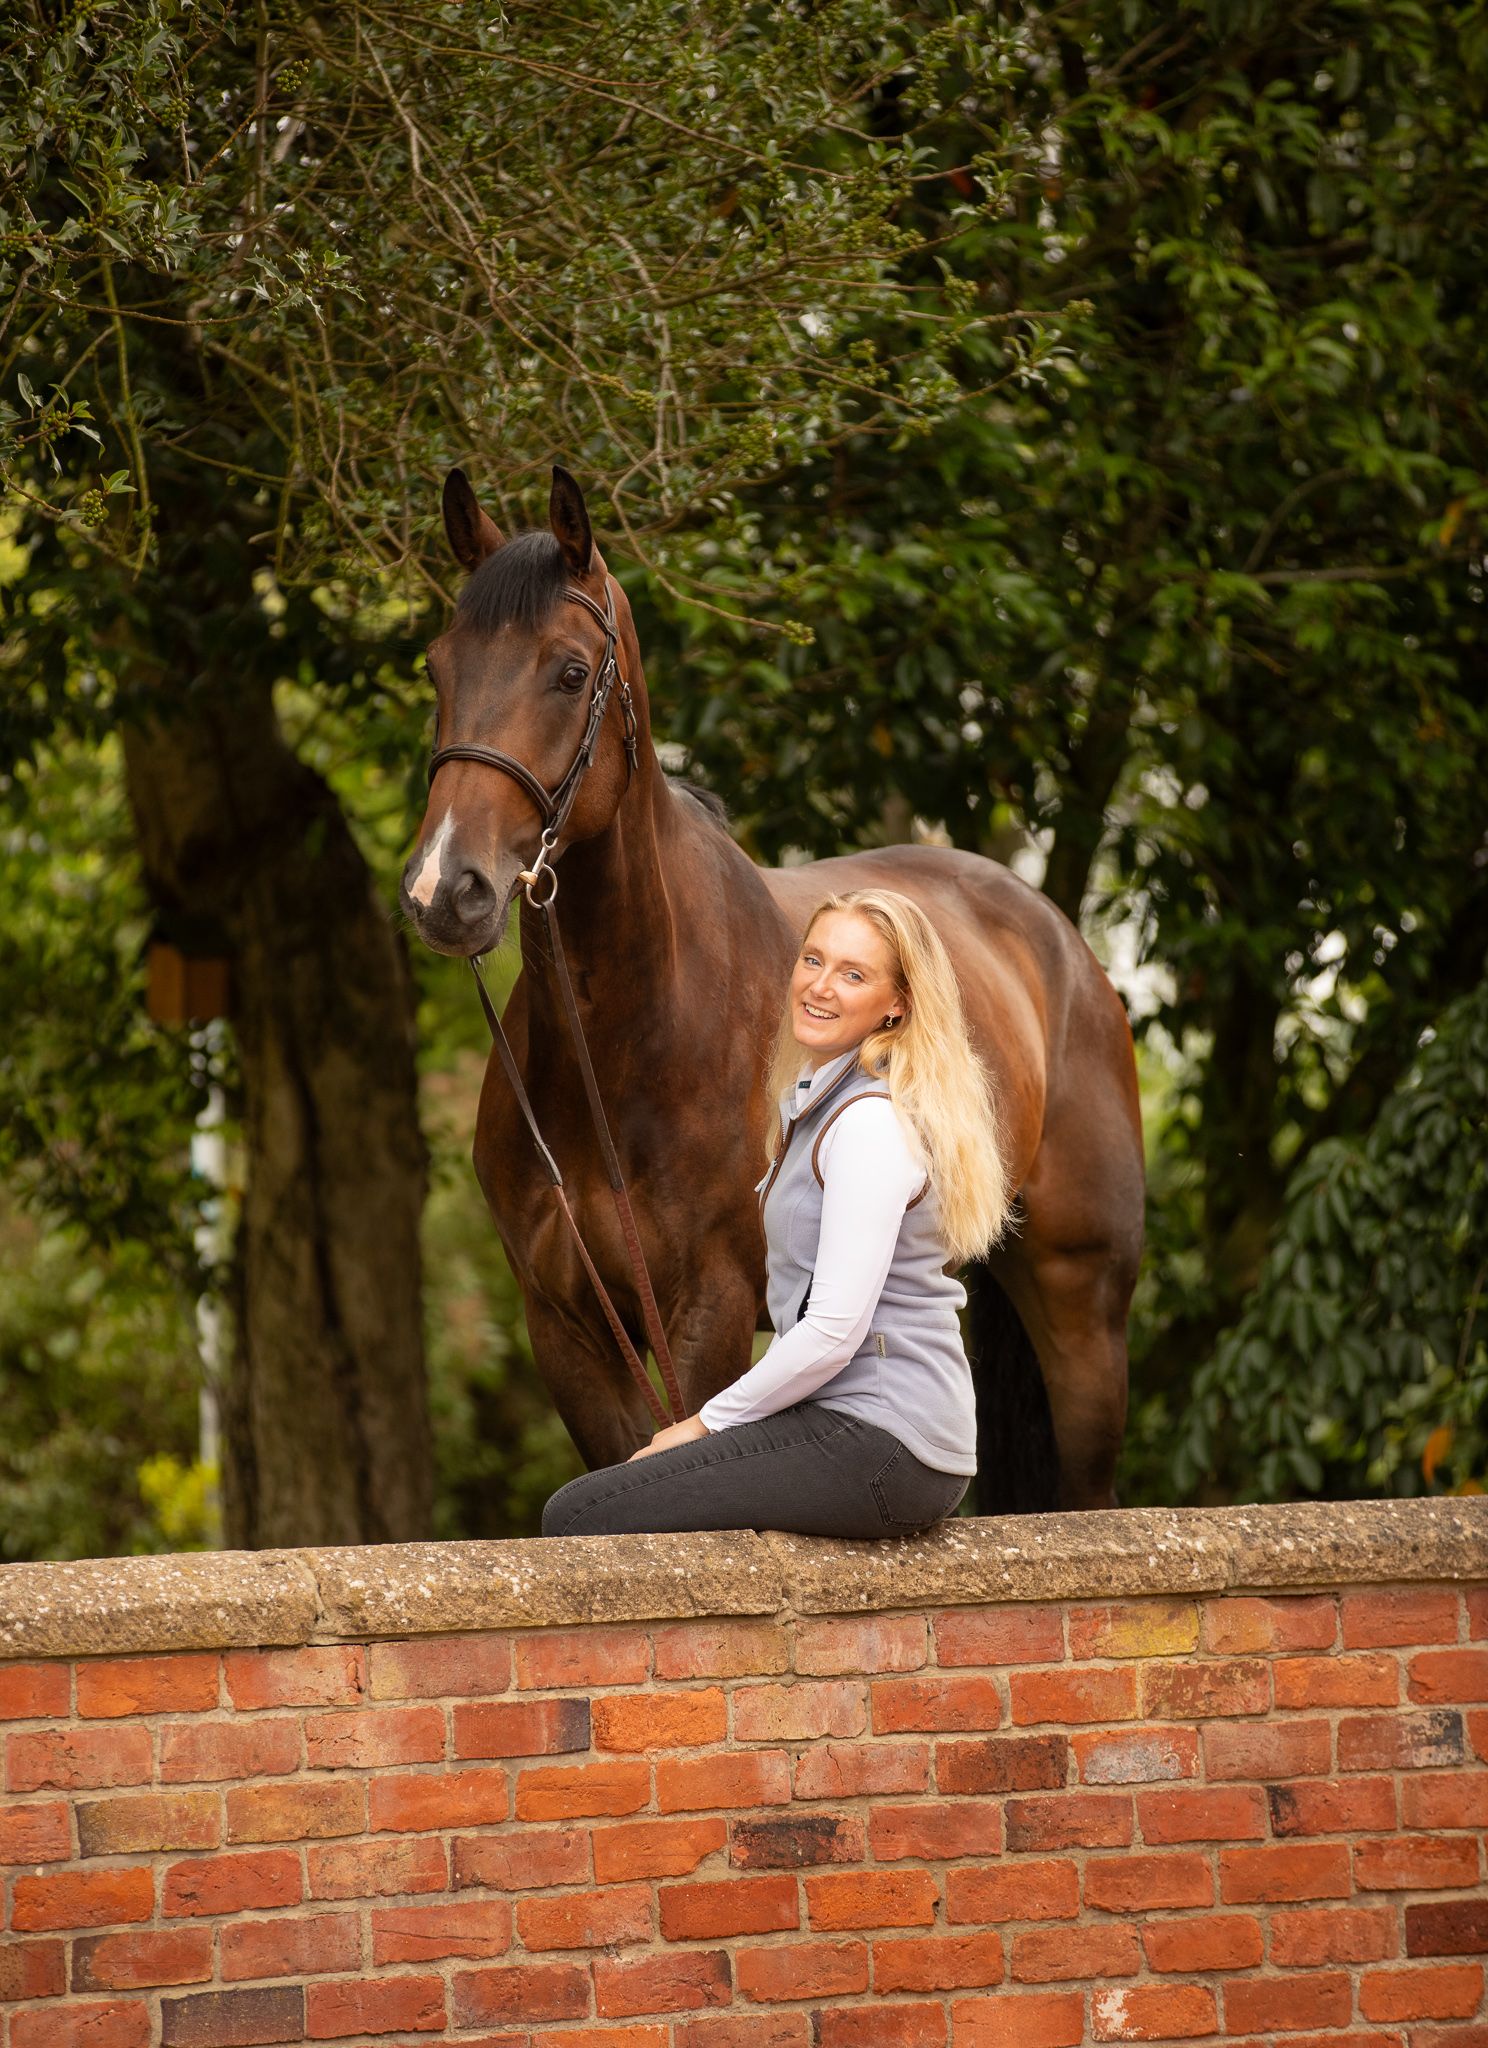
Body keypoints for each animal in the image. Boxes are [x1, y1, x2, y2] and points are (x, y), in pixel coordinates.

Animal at [399, 465, 1145, 1513]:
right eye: (438, 669)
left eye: (571, 673)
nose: (444, 890)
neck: (631, 1036)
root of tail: (1060, 944)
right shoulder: (569, 1326)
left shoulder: (706, 1309)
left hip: (1083, 1307)